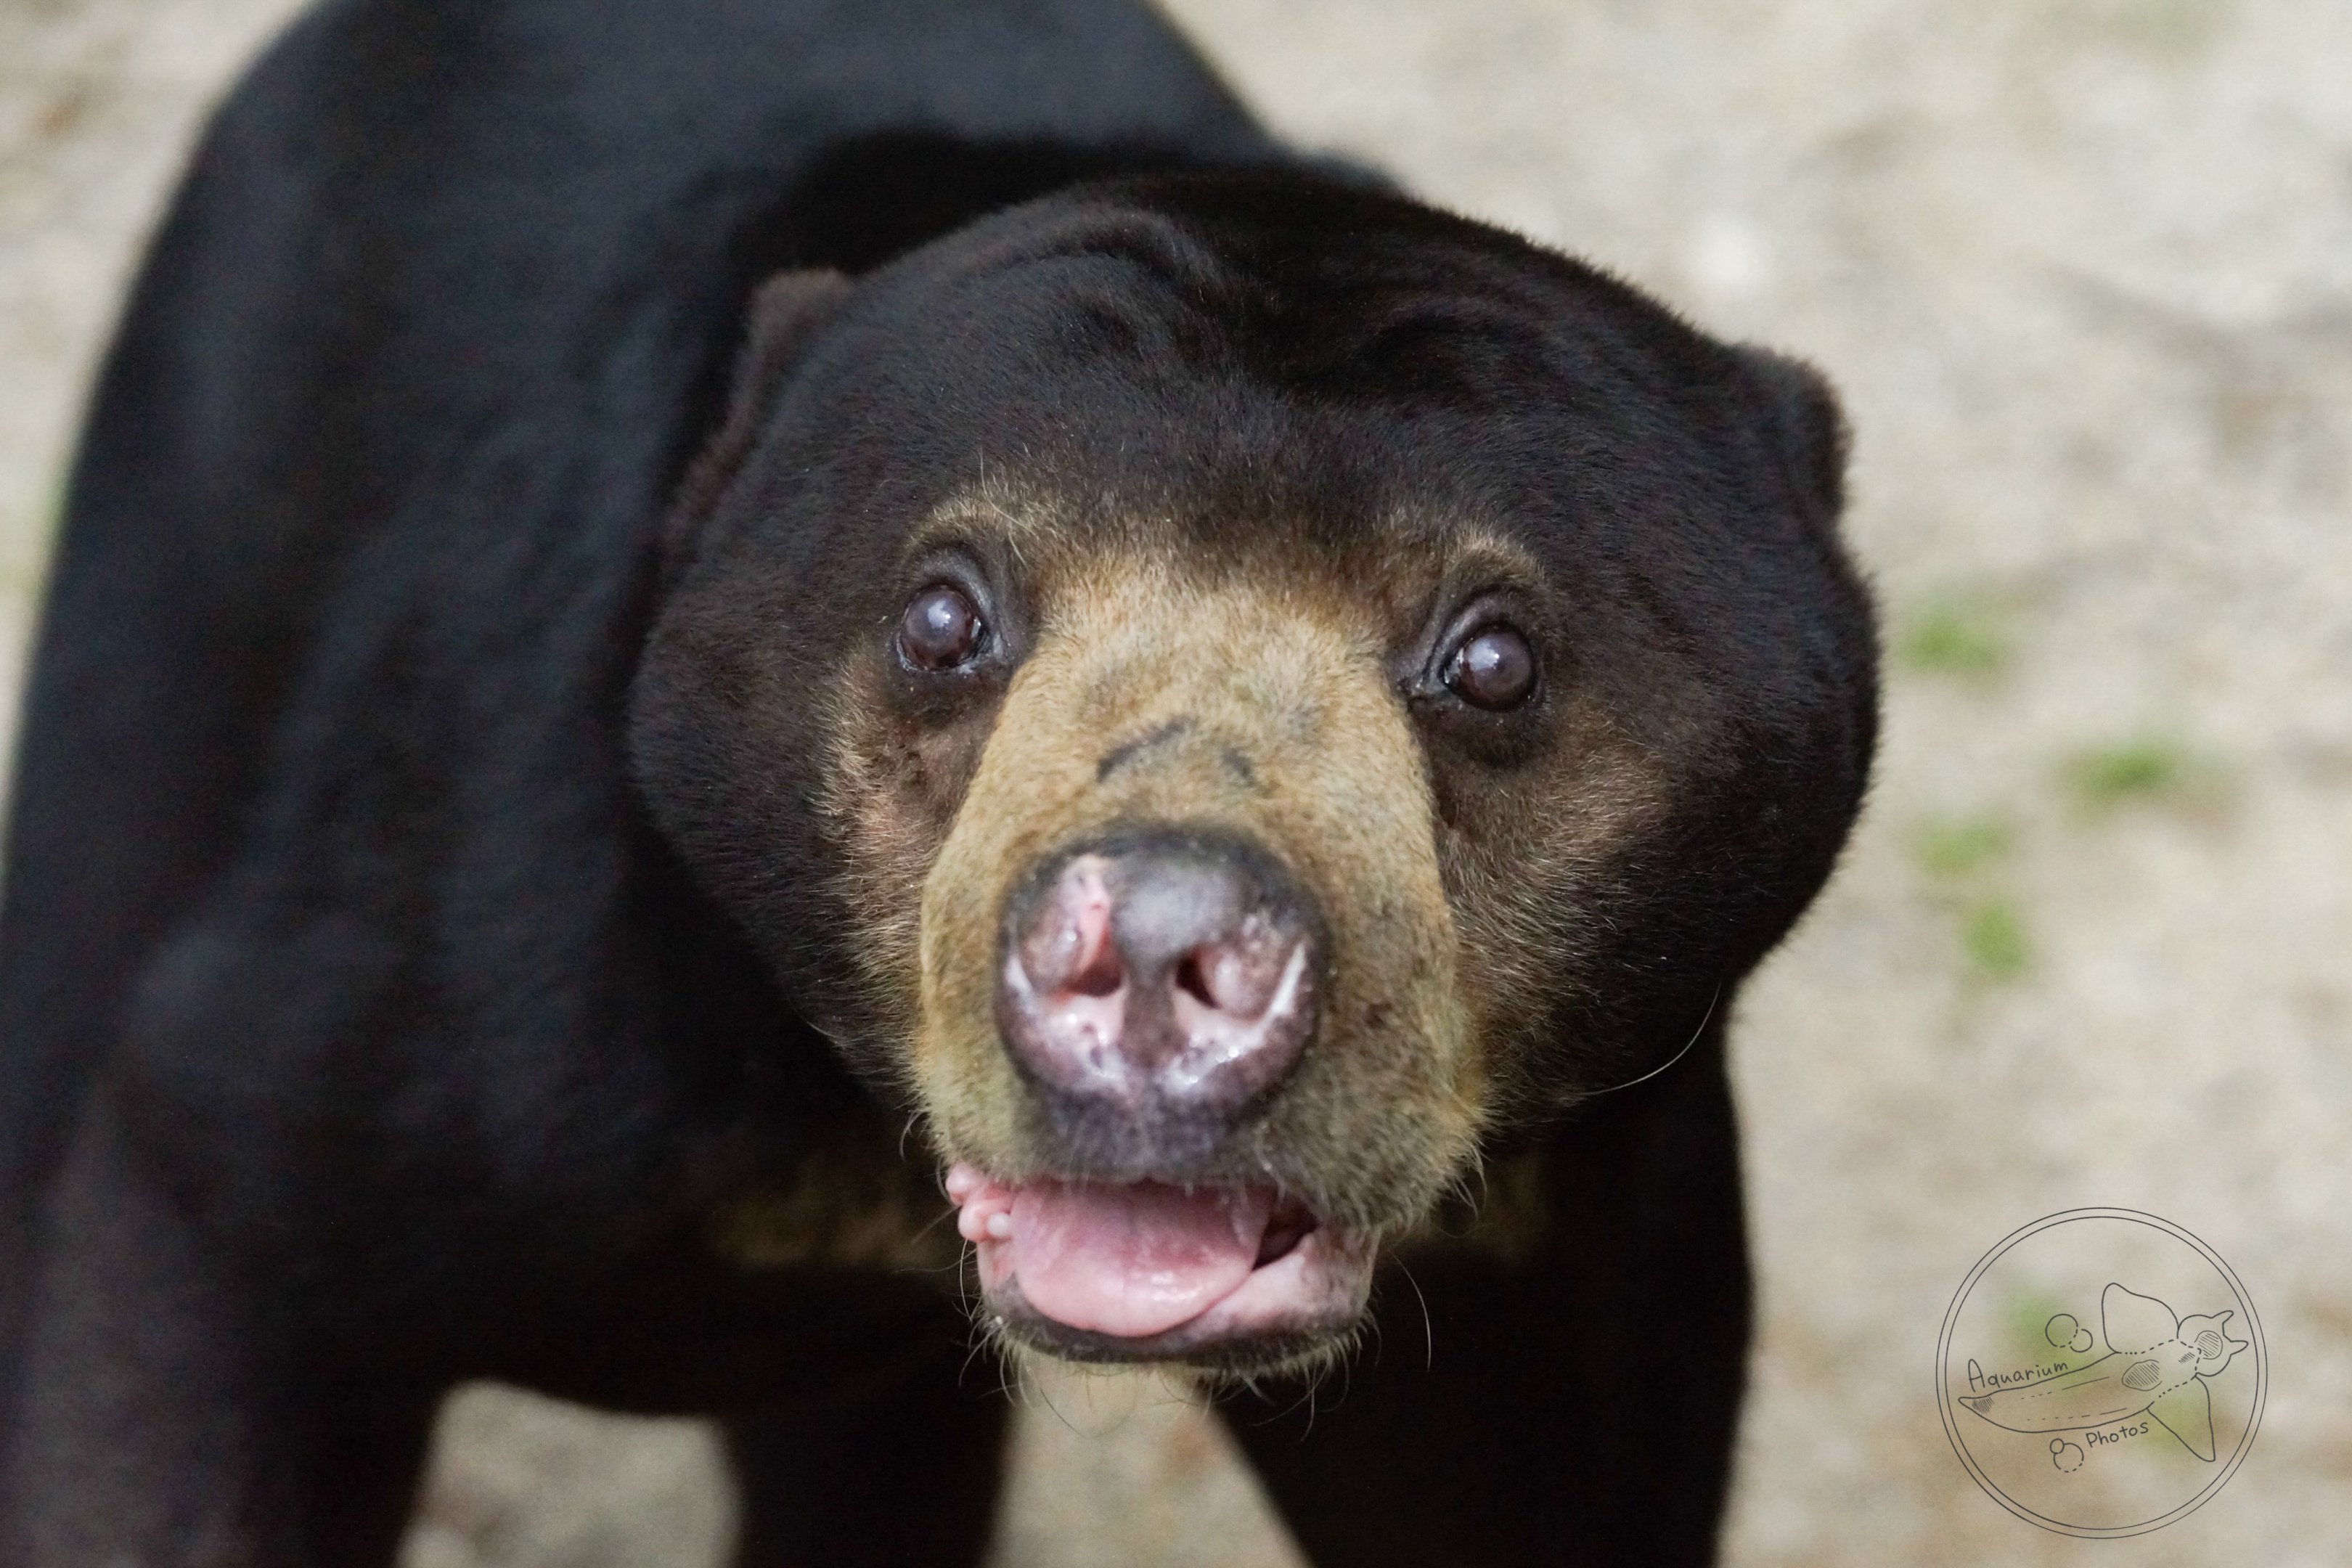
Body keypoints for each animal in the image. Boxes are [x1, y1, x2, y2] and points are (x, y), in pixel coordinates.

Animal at [0, 0, 1877, 1563]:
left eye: (1491, 659)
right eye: (943, 616)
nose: (1153, 946)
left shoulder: (1555, 1247)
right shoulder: (473, 1017)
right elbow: (208, 1229)